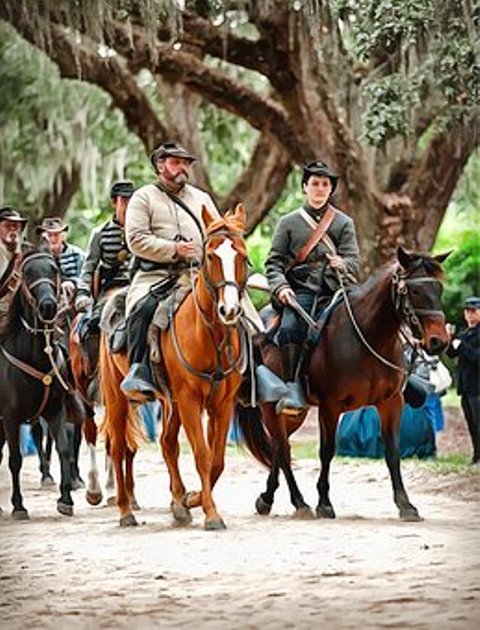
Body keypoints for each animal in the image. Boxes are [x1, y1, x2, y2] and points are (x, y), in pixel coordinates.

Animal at [0, 249, 83, 520]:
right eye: (27, 273)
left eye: (53, 270)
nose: (48, 306)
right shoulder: (11, 417)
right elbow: (15, 459)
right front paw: (18, 505)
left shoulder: (56, 409)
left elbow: (64, 449)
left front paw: (66, 498)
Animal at [97, 206, 248, 528]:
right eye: (210, 256)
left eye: (242, 256)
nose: (229, 310)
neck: (210, 335)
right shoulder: (190, 400)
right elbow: (202, 456)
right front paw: (211, 513)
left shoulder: (222, 404)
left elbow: (216, 461)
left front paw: (191, 499)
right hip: (117, 397)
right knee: (118, 447)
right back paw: (125, 510)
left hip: (170, 402)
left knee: (167, 443)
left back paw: (178, 502)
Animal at [236, 247, 450, 524]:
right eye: (413, 291)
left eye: (439, 289)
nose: (438, 342)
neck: (370, 337)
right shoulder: (330, 406)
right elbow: (327, 451)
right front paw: (324, 503)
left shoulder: (391, 403)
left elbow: (393, 452)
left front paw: (405, 505)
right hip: (270, 406)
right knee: (282, 449)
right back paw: (300, 502)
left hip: (294, 413)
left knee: (277, 446)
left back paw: (267, 498)